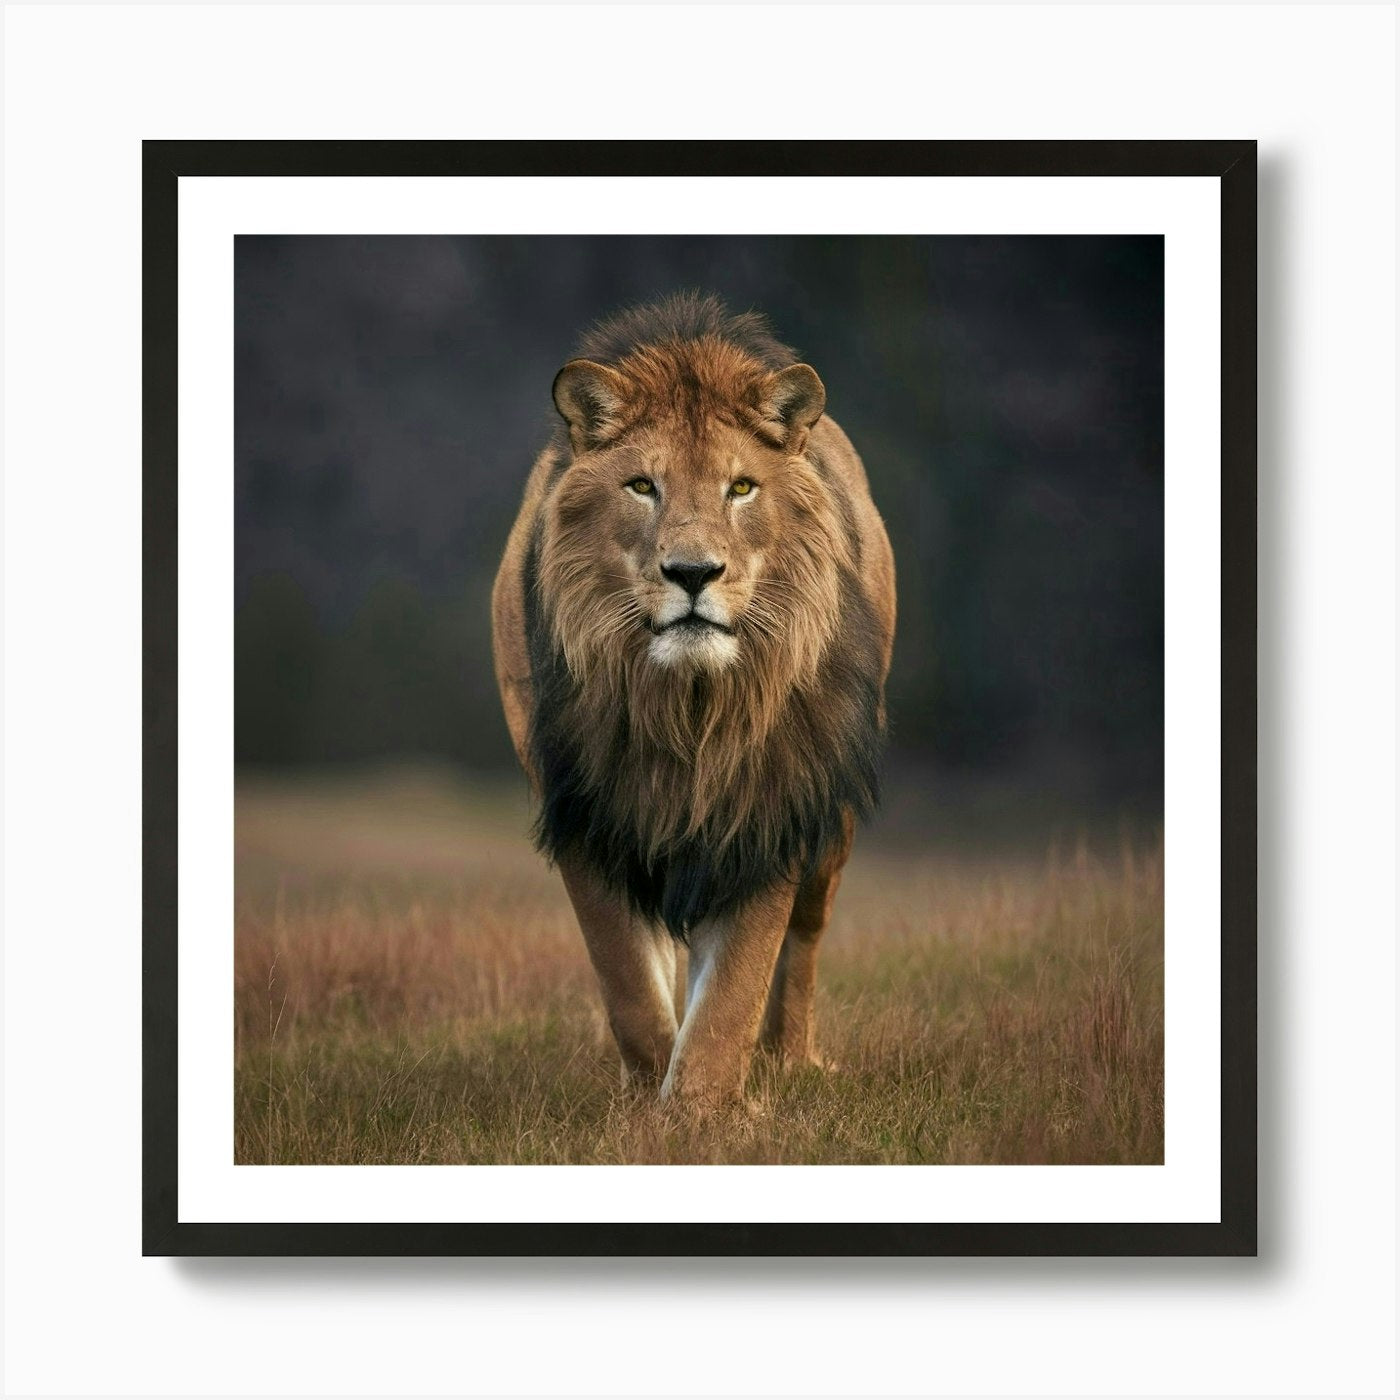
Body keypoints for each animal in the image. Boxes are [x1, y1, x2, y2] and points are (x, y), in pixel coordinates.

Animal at [492, 293, 895, 1107]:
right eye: (642, 486)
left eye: (740, 487)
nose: (692, 572)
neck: (688, 705)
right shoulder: (587, 808)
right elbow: (628, 984)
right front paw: (649, 1095)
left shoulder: (767, 808)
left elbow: (735, 987)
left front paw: (703, 1109)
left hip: (828, 832)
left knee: (802, 949)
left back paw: (790, 1059)